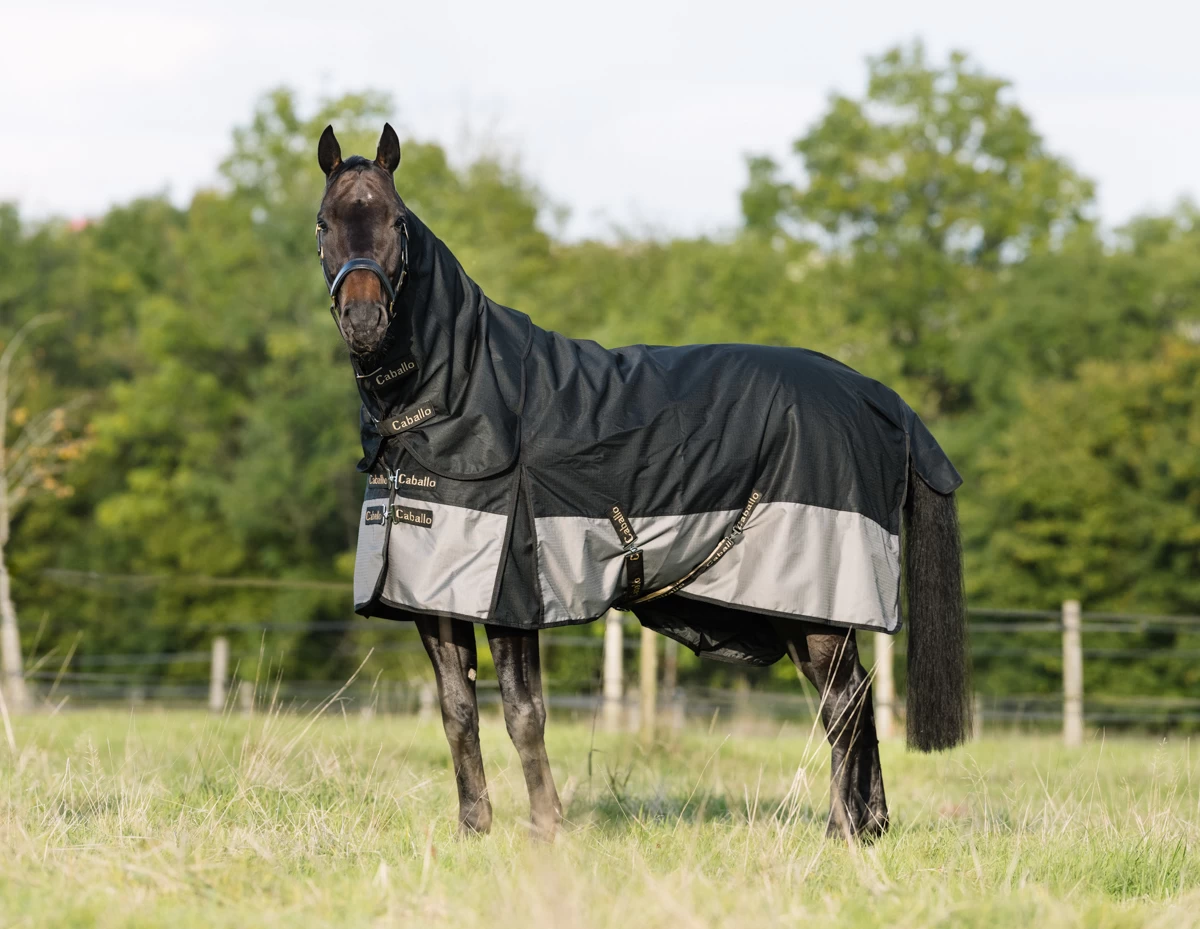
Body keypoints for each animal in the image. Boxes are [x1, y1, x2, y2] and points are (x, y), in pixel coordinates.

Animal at [313, 124, 970, 841]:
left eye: (397, 222)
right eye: (324, 224)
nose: (364, 322)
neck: (459, 397)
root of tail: (877, 396)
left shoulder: (510, 591)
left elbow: (522, 711)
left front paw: (547, 828)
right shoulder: (434, 595)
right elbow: (458, 711)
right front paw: (473, 830)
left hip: (820, 599)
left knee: (844, 701)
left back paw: (843, 830)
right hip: (805, 607)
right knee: (852, 702)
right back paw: (868, 825)